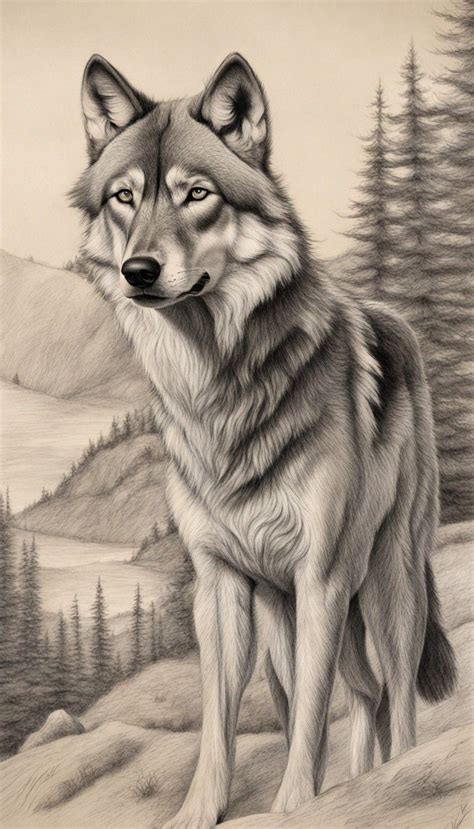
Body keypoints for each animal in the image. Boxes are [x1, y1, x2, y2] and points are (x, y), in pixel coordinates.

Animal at [72, 53, 456, 828]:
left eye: (197, 194)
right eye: (125, 197)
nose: (138, 272)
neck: (219, 386)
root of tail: (393, 320)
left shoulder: (322, 577)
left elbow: (309, 716)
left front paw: (294, 806)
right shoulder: (220, 583)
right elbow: (222, 721)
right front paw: (201, 812)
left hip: (384, 585)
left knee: (398, 700)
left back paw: (389, 775)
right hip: (284, 616)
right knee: (363, 695)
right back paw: (358, 782)